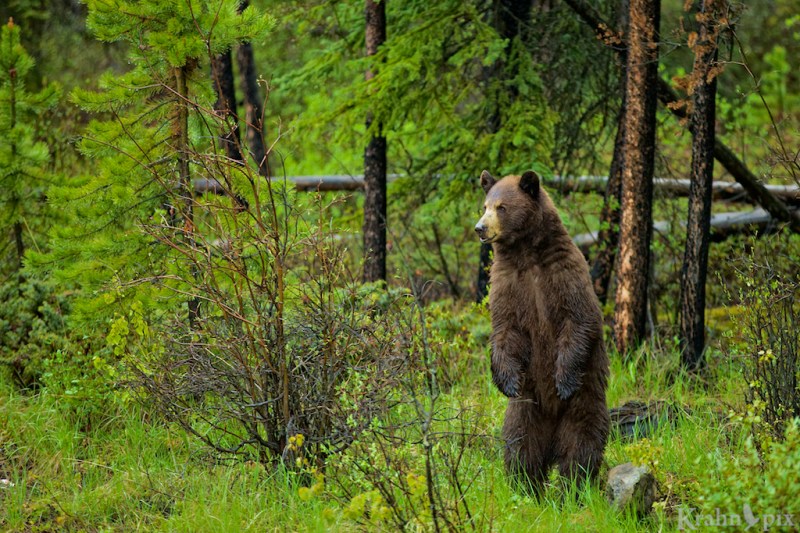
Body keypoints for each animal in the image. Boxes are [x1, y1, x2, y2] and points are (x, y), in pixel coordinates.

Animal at [474, 169, 609, 494]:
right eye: (484, 205)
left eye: (501, 207)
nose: (480, 228)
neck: (526, 253)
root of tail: (552, 440)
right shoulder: (508, 284)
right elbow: (504, 330)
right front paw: (507, 381)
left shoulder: (563, 275)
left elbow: (578, 320)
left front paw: (564, 382)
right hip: (526, 408)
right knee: (520, 443)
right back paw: (524, 485)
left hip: (585, 402)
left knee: (581, 443)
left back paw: (573, 486)